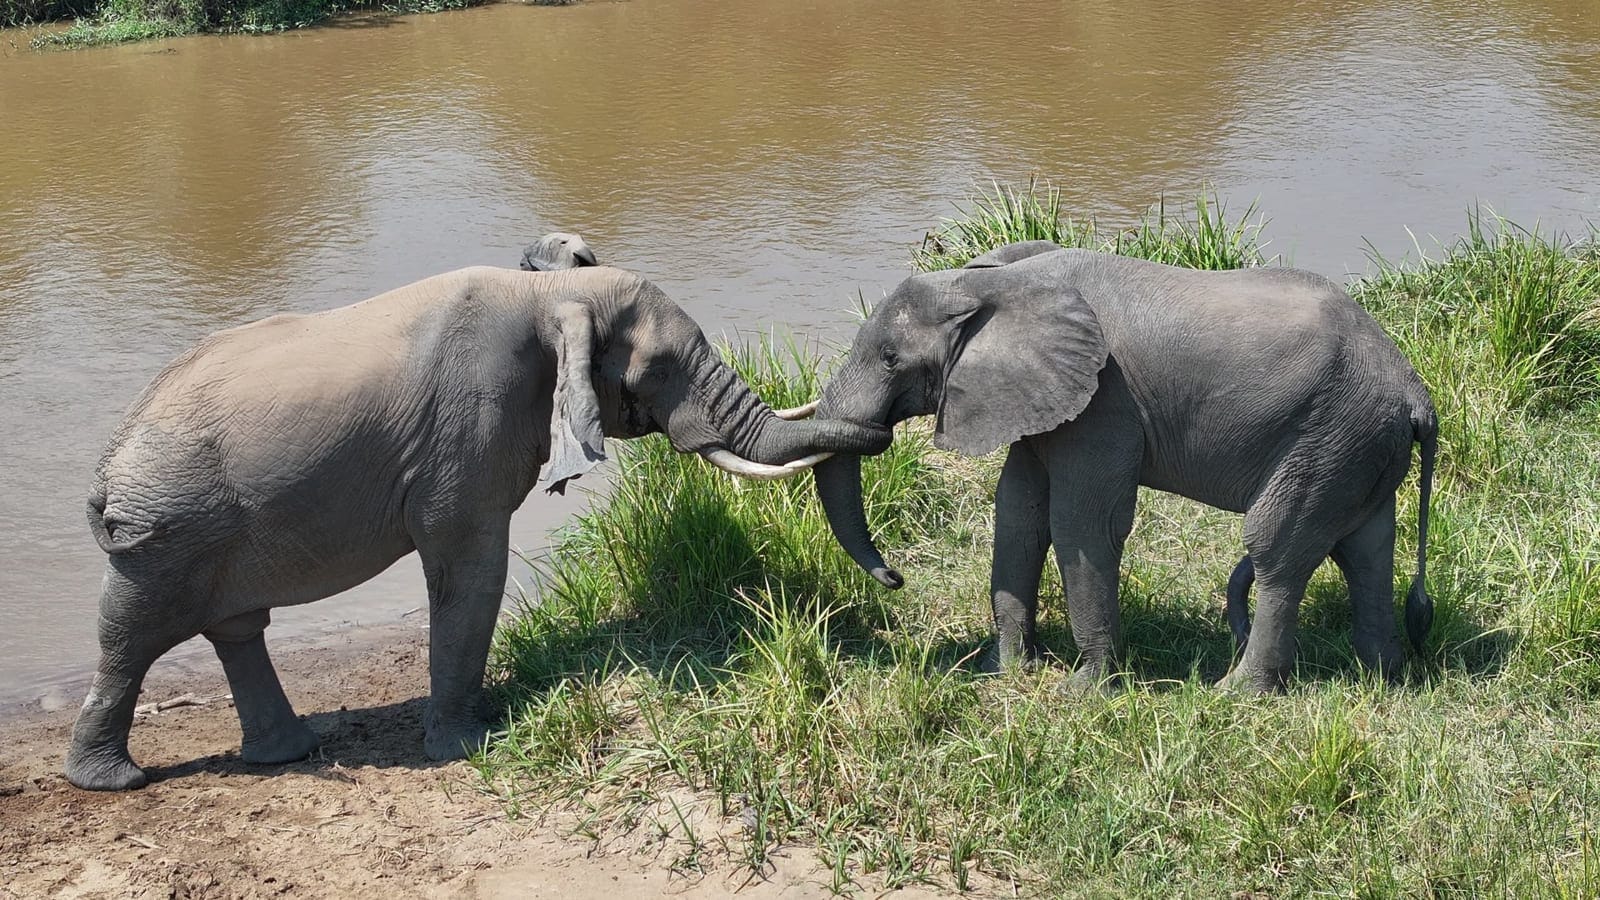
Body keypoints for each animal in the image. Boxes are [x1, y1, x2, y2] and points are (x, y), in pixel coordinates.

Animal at [67, 264, 890, 791]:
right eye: (658, 369)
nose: (883, 432)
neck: (550, 293)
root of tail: (107, 467)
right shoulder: (469, 426)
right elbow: (472, 564)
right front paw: (470, 746)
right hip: (167, 529)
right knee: (133, 634)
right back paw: (114, 782)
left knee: (236, 628)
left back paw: (287, 754)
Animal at [810, 240, 1436, 693]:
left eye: (889, 357)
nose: (895, 579)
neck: (990, 282)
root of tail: (1414, 392)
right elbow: (1018, 516)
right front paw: (1003, 671)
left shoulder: (1103, 402)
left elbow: (1083, 525)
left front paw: (1082, 692)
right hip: (1355, 447)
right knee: (1366, 550)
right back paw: (1381, 677)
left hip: (1329, 434)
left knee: (1277, 548)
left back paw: (1235, 694)